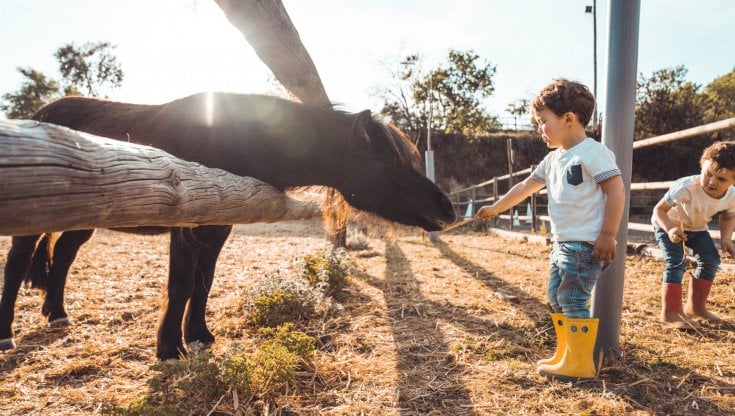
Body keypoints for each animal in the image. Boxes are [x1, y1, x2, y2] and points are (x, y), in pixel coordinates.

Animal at [0, 92, 458, 360]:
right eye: (387, 161)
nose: (447, 207)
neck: (237, 137)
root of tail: (41, 114)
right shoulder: (188, 221)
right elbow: (181, 284)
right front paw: (170, 349)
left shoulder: (219, 225)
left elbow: (204, 282)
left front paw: (199, 335)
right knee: (18, 262)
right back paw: (7, 334)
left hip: (85, 221)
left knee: (62, 255)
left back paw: (57, 313)